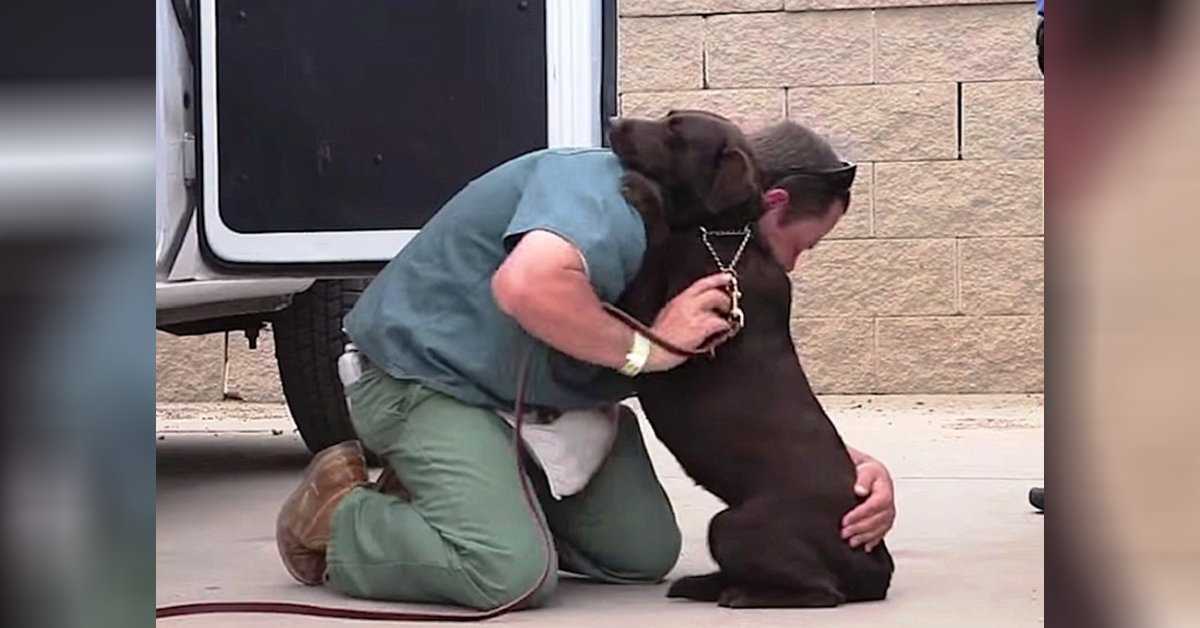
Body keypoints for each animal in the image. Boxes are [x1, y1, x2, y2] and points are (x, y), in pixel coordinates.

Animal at [609, 111, 892, 609]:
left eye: (676, 133)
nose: (612, 121)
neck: (723, 234)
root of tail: (876, 567)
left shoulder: (659, 319)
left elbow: (651, 249)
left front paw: (643, 193)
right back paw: (705, 584)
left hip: (734, 524)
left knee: (823, 592)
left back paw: (740, 594)